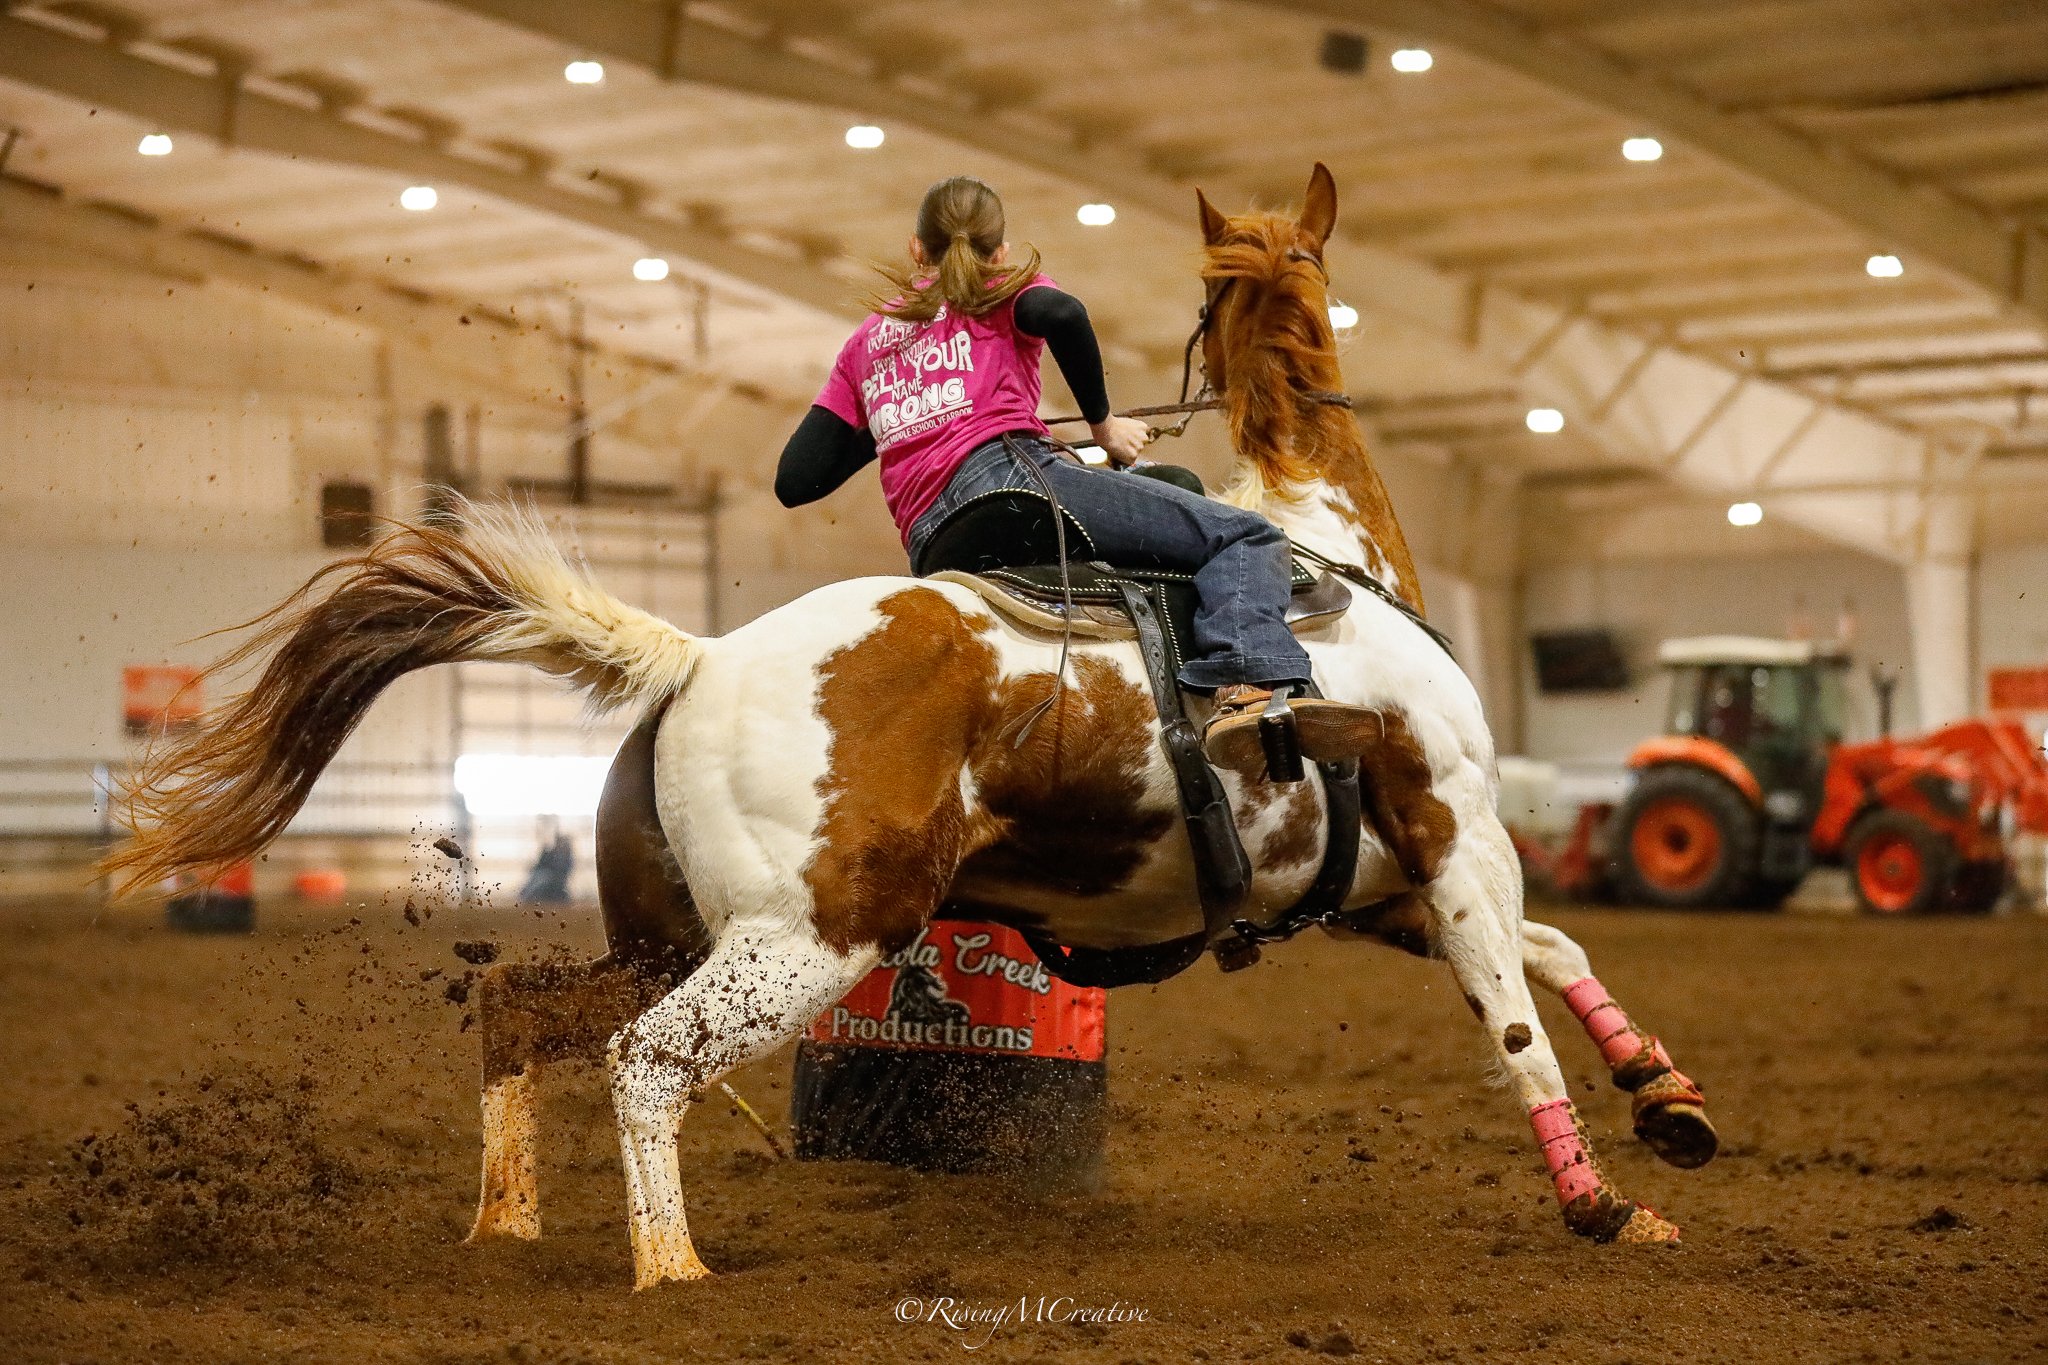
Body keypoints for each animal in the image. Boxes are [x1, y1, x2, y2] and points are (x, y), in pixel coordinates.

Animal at [104, 164, 1715, 1291]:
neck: (1320, 551)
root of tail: (699, 658)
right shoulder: (1447, 826)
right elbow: (1515, 1016)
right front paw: (1606, 1204)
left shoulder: (1376, 879)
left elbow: (1555, 953)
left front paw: (1670, 1099)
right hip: (810, 935)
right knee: (645, 1061)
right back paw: (671, 1267)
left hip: (672, 929)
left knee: (525, 1012)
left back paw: (506, 1225)